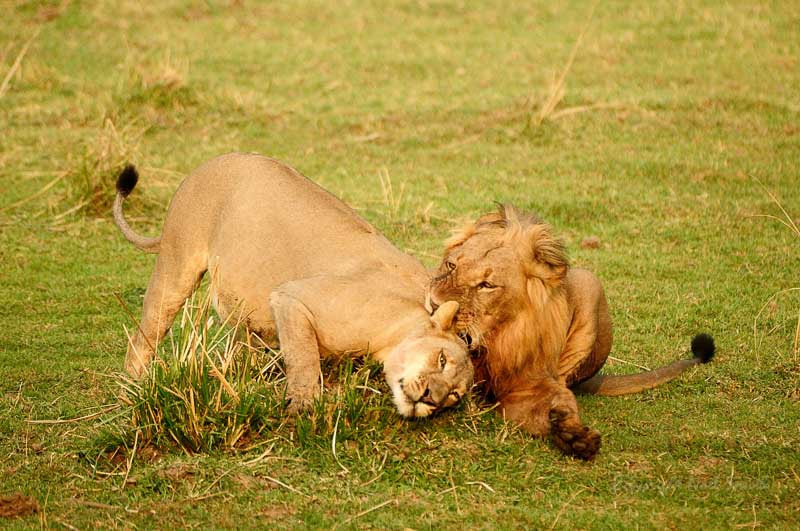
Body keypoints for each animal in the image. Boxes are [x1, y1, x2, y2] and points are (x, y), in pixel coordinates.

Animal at [114, 153, 476, 420]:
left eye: (453, 395)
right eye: (442, 360)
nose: (431, 398)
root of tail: (210, 162)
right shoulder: (292, 298)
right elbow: (303, 358)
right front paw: (304, 406)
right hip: (176, 267)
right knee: (143, 338)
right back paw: (131, 392)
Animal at [428, 206, 716, 460]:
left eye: (487, 285)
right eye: (451, 266)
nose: (433, 304)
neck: (494, 341)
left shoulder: (528, 387)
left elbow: (557, 403)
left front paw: (573, 434)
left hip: (590, 285)